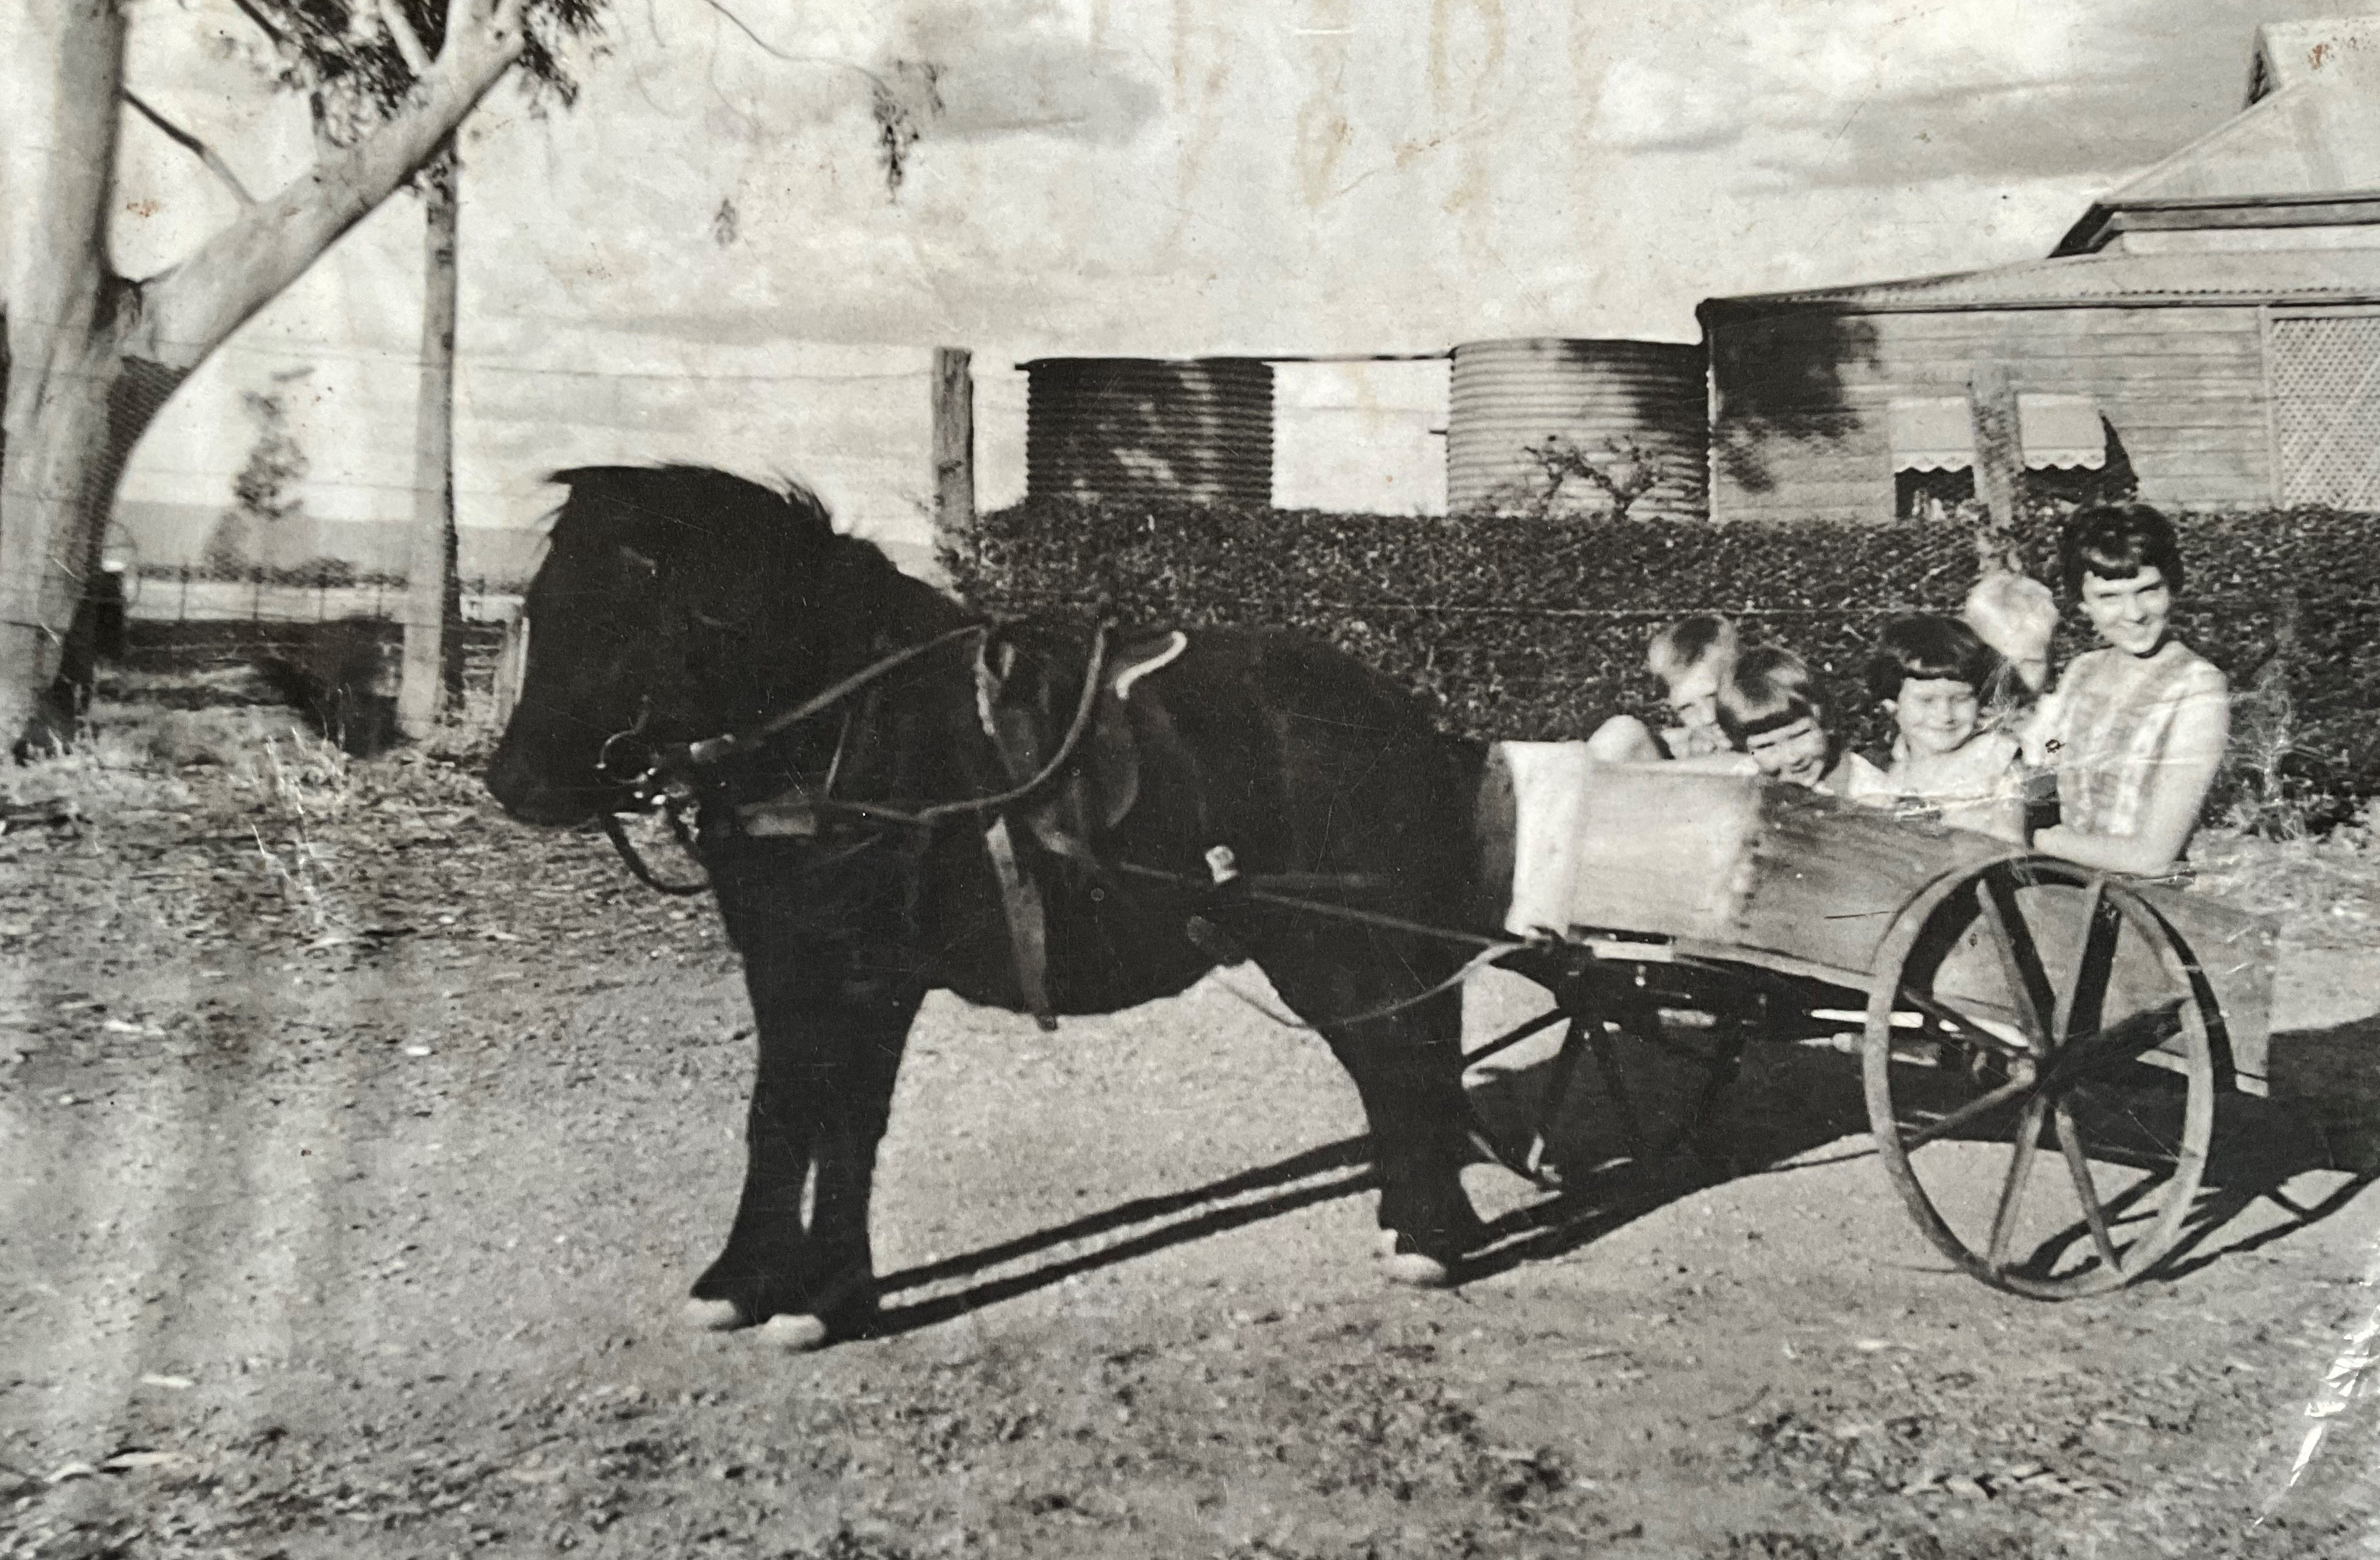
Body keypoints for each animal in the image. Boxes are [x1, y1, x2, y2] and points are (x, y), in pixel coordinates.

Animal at [484, 465, 1497, 1349]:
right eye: (543, 601)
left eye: (625, 608)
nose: (513, 782)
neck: (848, 736)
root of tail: (1404, 714)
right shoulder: (785, 965)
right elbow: (779, 1113)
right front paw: (738, 1280)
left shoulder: (871, 979)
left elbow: (845, 1120)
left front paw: (828, 1295)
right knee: (1400, 1064)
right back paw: (1421, 1222)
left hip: (1337, 944)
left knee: (1399, 1060)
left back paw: (1427, 1239)